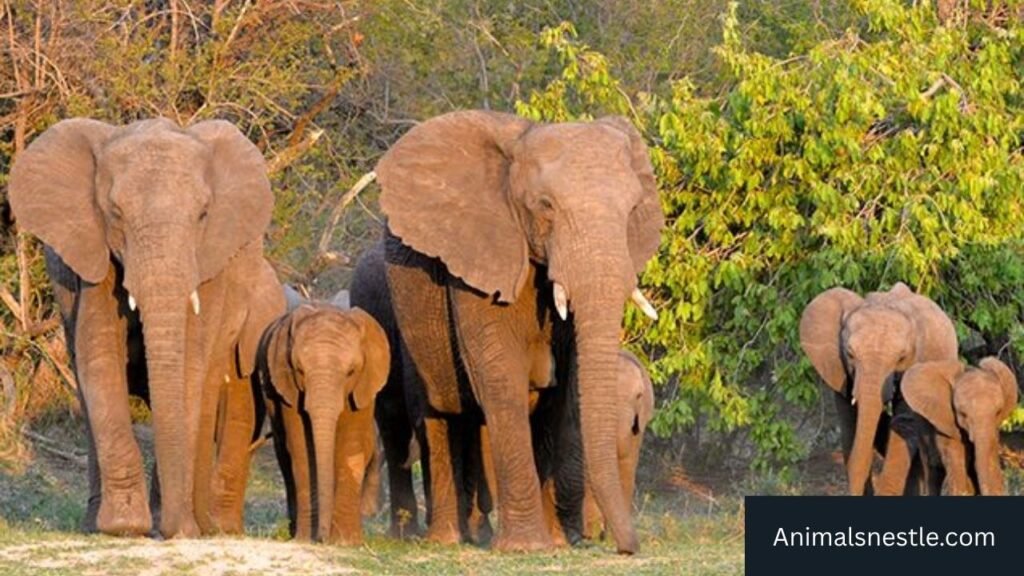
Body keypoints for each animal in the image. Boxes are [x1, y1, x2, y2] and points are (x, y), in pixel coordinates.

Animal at [8, 118, 285, 538]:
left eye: (204, 214)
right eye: (115, 213)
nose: (176, 529)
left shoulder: (209, 266)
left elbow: (190, 363)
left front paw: (173, 527)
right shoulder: (93, 256)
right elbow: (99, 355)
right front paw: (126, 526)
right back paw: (96, 525)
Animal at [257, 302, 390, 544]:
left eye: (351, 372)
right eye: (299, 370)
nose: (322, 537)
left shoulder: (365, 386)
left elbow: (351, 444)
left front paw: (347, 541)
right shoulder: (288, 389)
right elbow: (301, 446)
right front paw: (305, 538)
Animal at [378, 110, 664, 553]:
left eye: (633, 209)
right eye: (545, 206)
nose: (627, 547)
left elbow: (563, 390)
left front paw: (557, 543)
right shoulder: (480, 256)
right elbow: (500, 375)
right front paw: (527, 547)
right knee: (437, 407)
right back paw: (447, 540)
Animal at [898, 357, 1019, 495]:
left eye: (998, 412)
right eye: (962, 414)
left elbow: (991, 455)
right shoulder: (946, 421)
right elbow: (957, 459)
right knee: (932, 471)